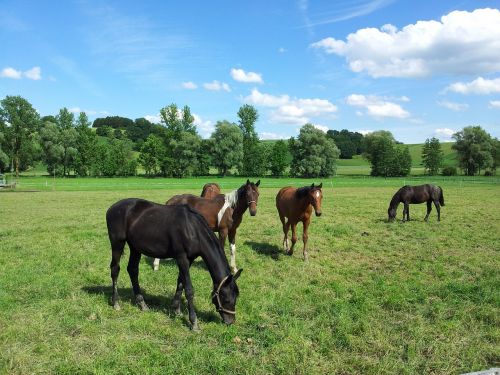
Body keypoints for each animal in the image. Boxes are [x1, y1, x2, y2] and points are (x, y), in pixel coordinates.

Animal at [106, 198, 243, 330]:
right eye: (226, 298)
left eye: (236, 297)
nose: (230, 321)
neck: (192, 229)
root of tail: (112, 208)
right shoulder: (181, 257)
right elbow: (189, 289)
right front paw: (193, 322)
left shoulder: (189, 259)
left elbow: (180, 282)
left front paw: (176, 309)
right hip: (117, 243)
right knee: (115, 269)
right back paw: (116, 302)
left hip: (135, 247)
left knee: (133, 270)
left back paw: (142, 303)